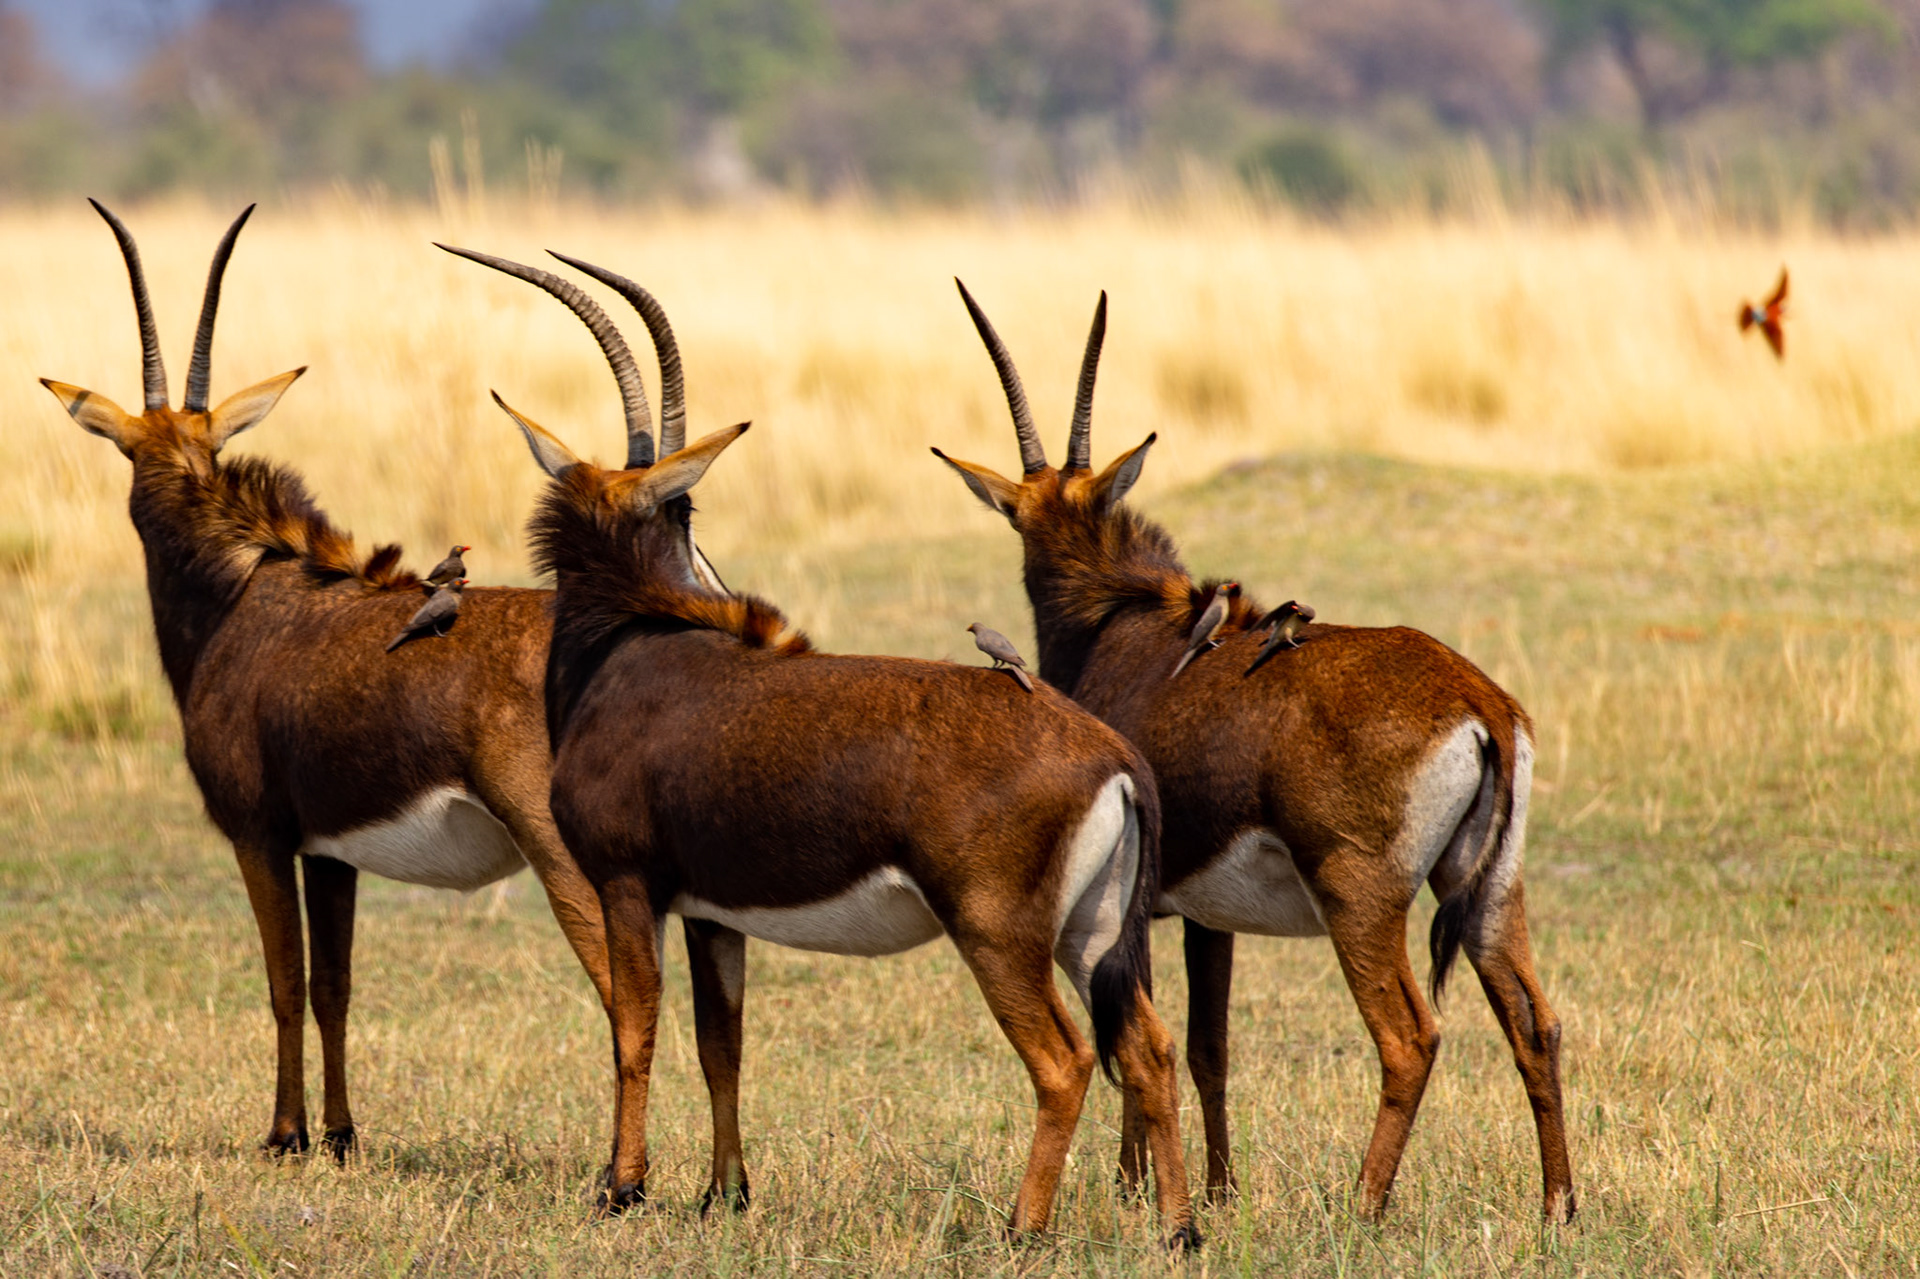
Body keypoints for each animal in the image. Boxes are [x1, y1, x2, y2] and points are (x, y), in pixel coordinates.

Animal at [36, 201, 658, 1159]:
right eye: (148, 447)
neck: (243, 589)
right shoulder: (331, 850)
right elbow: (335, 986)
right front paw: (339, 1132)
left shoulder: (259, 835)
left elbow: (284, 982)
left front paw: (284, 1133)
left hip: (564, 852)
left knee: (628, 998)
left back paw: (623, 1177)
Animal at [450, 246, 1199, 1244]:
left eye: (684, 507)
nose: (724, 587)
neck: (635, 646)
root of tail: (1113, 759)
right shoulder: (712, 911)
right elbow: (720, 1043)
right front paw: (723, 1192)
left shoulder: (626, 883)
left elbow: (634, 1029)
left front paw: (621, 1186)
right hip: (1093, 934)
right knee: (1149, 1049)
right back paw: (1179, 1229)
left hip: (1000, 934)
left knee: (1065, 1060)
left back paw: (1021, 1227)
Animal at [931, 283, 1575, 1223]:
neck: (1117, 622)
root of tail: (1479, 701)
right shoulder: (1209, 917)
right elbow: (1210, 1048)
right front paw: (1216, 1189)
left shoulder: (1138, 905)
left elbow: (1139, 1038)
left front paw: (1137, 1190)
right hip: (1489, 889)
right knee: (1536, 1022)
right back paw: (1559, 1205)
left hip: (1359, 900)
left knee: (1409, 1036)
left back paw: (1363, 1205)